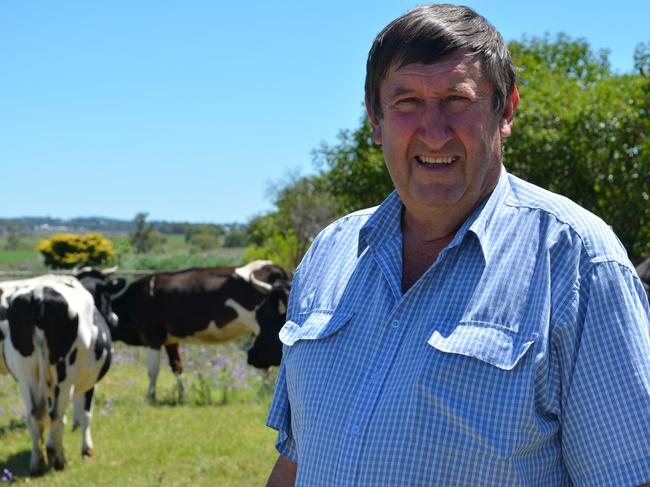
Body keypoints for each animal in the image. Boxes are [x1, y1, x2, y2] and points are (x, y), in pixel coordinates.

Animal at [0, 270, 124, 476]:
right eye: (107, 296)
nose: (115, 319)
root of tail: (38, 295)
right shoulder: (89, 383)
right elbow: (85, 414)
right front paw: (87, 449)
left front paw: (50, 446)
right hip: (64, 376)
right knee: (57, 416)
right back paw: (60, 461)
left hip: (27, 376)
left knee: (35, 416)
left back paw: (37, 463)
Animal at [109, 262, 288, 402]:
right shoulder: (171, 340)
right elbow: (177, 367)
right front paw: (181, 396)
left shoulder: (152, 335)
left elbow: (152, 369)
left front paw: (150, 397)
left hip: (258, 329)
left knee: (266, 367)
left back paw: (264, 393)